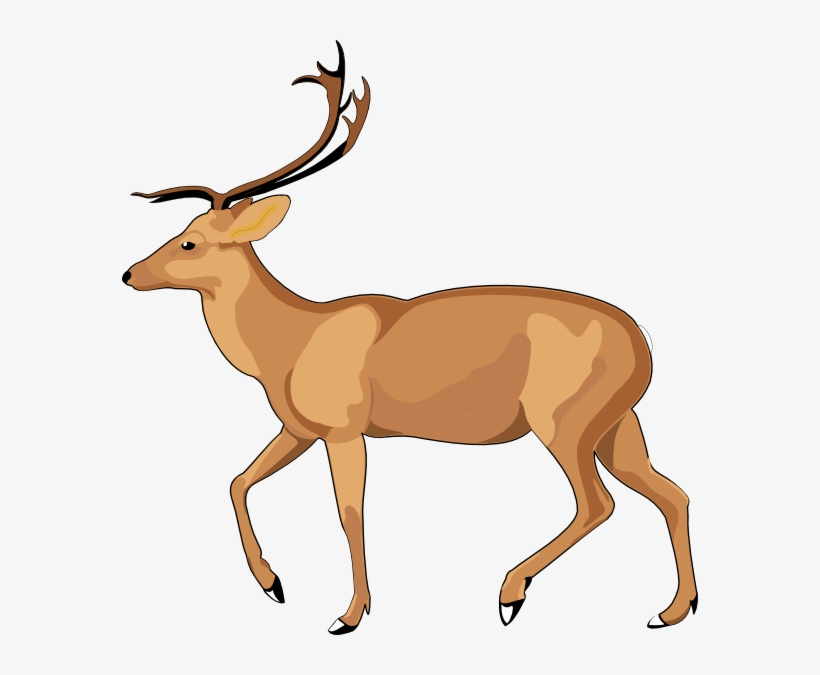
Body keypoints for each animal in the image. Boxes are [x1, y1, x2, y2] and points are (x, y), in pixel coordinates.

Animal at [124, 42, 697, 635]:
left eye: (189, 242)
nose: (129, 274)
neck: (289, 343)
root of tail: (643, 345)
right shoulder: (300, 429)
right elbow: (238, 480)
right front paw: (274, 585)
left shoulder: (344, 428)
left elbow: (349, 512)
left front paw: (349, 615)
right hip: (617, 424)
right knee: (672, 493)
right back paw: (671, 610)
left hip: (564, 421)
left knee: (598, 503)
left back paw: (509, 594)